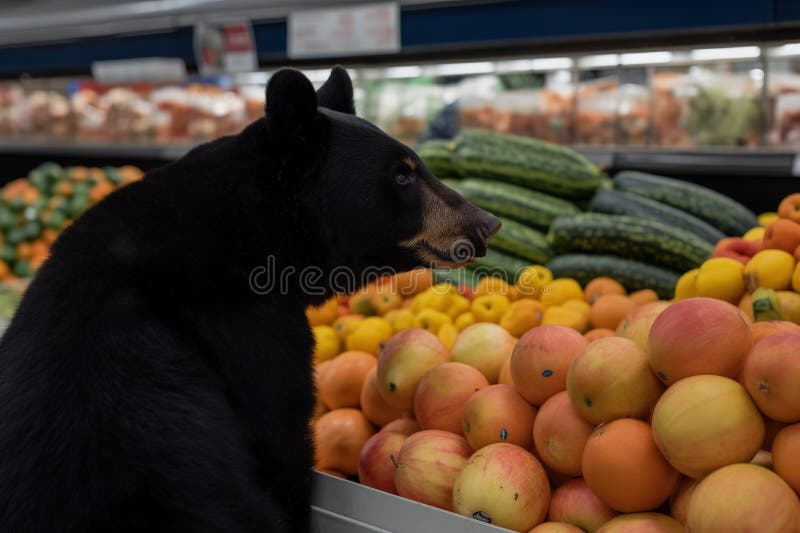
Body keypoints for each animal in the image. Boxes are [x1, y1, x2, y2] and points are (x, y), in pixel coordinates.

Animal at [0, 67, 500, 533]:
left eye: (416, 166)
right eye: (401, 174)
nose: (488, 222)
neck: (253, 231)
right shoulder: (246, 330)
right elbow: (280, 436)